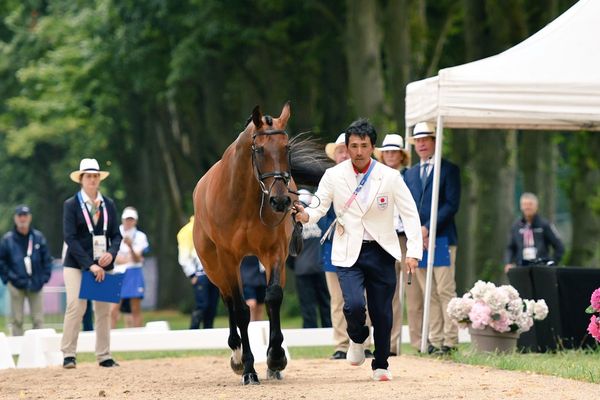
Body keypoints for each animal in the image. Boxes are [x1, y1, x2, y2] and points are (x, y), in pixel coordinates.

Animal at [192, 101, 326, 382]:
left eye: (286, 148)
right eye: (260, 149)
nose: (281, 201)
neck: (244, 199)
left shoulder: (274, 252)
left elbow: (273, 298)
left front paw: (276, 357)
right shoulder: (228, 259)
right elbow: (241, 310)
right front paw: (248, 368)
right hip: (213, 266)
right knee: (228, 300)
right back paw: (237, 356)